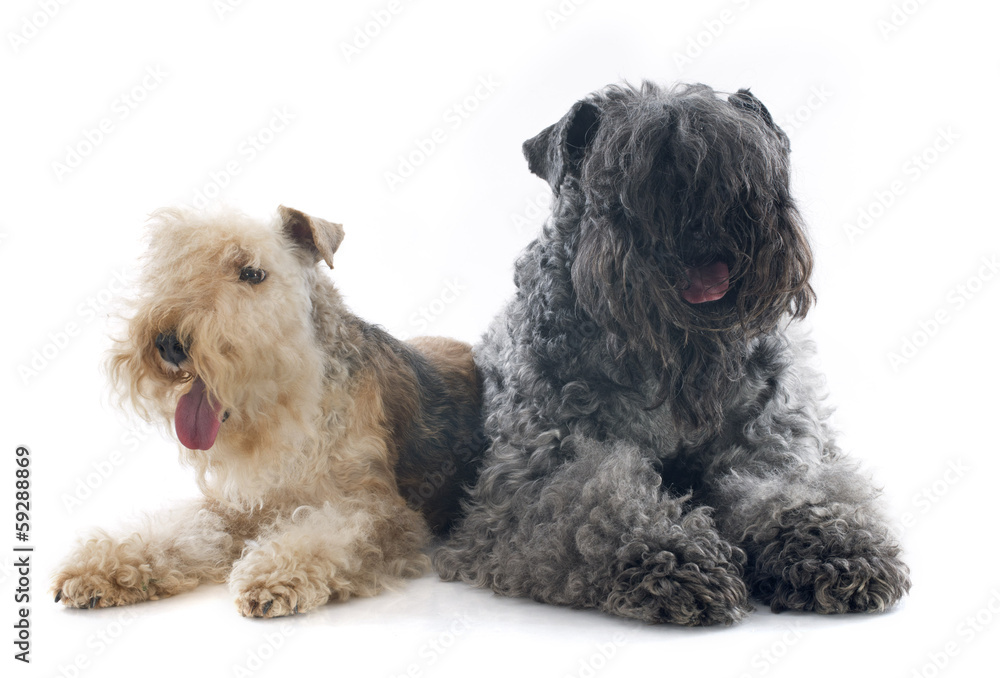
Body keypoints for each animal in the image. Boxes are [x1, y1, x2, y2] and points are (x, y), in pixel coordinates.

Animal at [52, 205, 482, 620]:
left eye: (253, 273)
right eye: (174, 267)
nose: (169, 343)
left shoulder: (377, 511)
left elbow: (324, 536)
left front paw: (273, 575)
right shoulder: (238, 505)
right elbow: (181, 531)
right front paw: (100, 567)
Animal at [434, 83, 912, 628]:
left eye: (744, 159)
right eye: (630, 165)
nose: (708, 218)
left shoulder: (774, 448)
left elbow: (794, 491)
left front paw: (833, 546)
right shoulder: (539, 472)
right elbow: (599, 500)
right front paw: (674, 558)